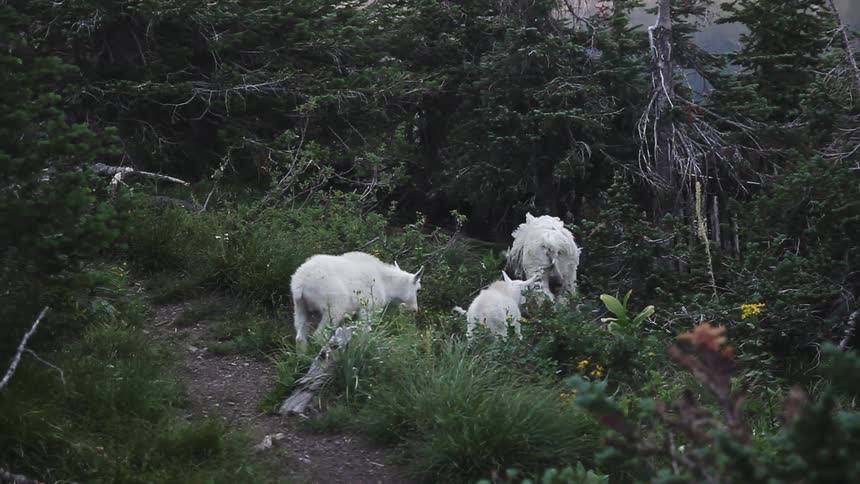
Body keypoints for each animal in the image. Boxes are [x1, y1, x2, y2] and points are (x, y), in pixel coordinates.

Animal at [291, 251, 424, 351]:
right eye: (418, 290)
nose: (415, 309)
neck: (387, 284)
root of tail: (300, 284)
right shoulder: (367, 308)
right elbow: (365, 330)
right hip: (332, 309)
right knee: (319, 334)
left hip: (301, 307)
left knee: (300, 336)